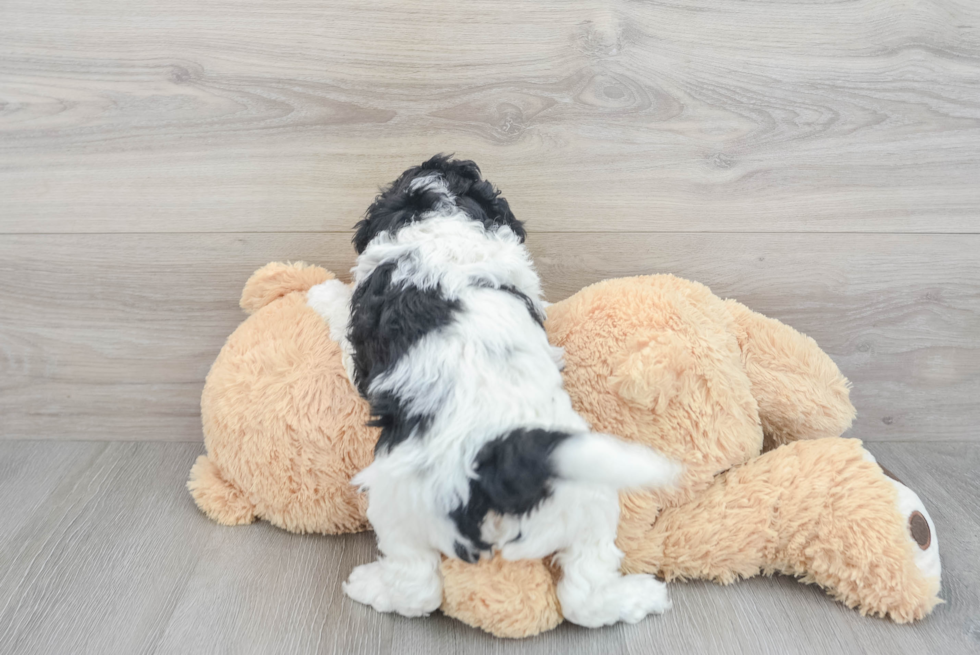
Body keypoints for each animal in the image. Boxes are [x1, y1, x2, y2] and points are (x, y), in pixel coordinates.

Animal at [314, 156, 680, 628]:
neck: (444, 218)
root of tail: (504, 459)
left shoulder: (360, 340)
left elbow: (339, 310)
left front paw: (319, 290)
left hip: (401, 502)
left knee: (418, 587)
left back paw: (368, 586)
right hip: (588, 497)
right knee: (585, 590)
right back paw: (641, 596)